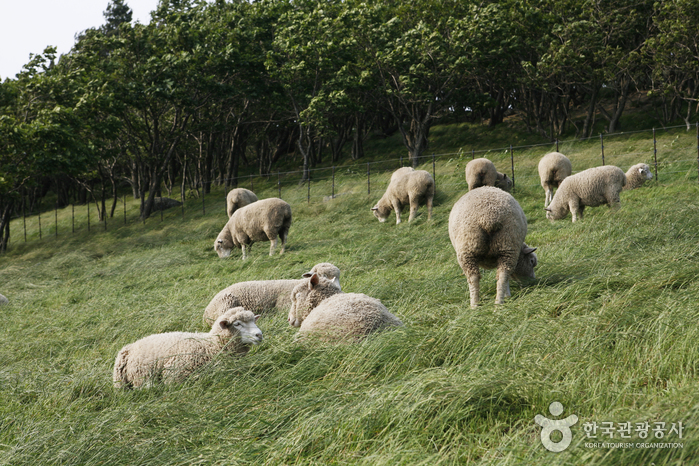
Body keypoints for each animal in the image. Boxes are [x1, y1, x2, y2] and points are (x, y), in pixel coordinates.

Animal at [113, 307, 262, 389]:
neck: (213, 345)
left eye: (253, 320)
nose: (259, 335)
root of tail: (128, 349)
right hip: (141, 377)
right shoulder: (175, 374)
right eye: (237, 324)